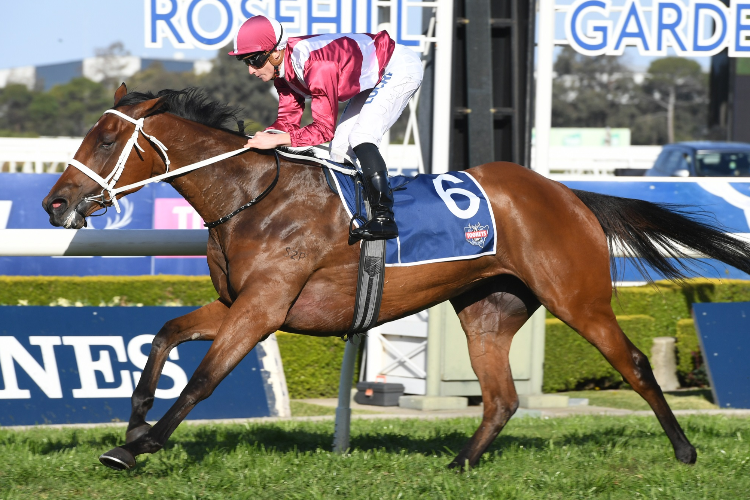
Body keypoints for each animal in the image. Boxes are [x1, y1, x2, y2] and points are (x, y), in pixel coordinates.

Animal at [45, 84, 750, 470]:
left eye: (105, 140)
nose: (55, 203)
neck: (254, 196)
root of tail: (569, 193)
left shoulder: (264, 307)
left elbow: (203, 380)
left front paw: (135, 448)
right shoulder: (240, 302)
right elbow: (164, 334)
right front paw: (134, 423)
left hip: (579, 298)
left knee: (634, 363)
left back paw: (685, 452)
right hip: (489, 308)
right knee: (502, 398)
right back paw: (459, 464)